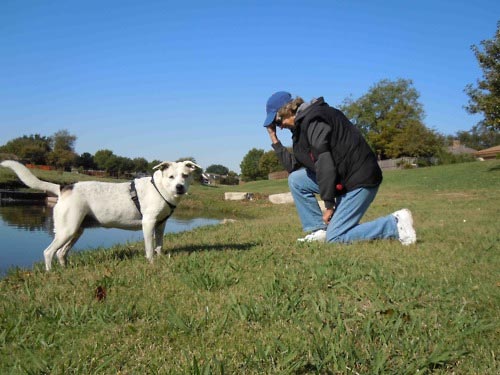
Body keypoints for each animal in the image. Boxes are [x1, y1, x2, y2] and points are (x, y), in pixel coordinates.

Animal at [2, 160, 201, 272]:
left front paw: (160, 260)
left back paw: (66, 270)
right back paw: (50, 273)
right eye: (171, 176)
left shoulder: (160, 225)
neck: (160, 188)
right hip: (67, 230)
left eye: (185, 175)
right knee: (49, 252)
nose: (179, 187)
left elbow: (159, 246)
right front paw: (151, 263)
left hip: (76, 231)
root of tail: (64, 187)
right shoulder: (149, 223)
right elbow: (150, 248)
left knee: (61, 253)